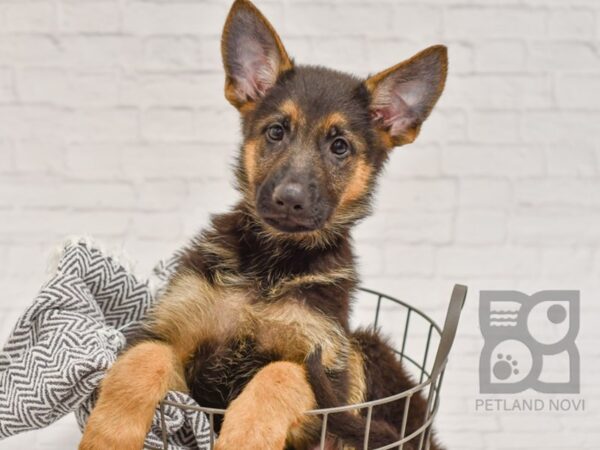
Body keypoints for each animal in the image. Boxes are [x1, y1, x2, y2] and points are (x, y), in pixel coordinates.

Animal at [78, 0, 446, 450]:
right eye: (276, 131)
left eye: (340, 146)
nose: (290, 199)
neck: (270, 264)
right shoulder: (169, 337)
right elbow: (141, 361)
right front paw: (106, 436)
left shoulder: (328, 372)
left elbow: (281, 373)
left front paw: (244, 435)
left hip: (363, 351)